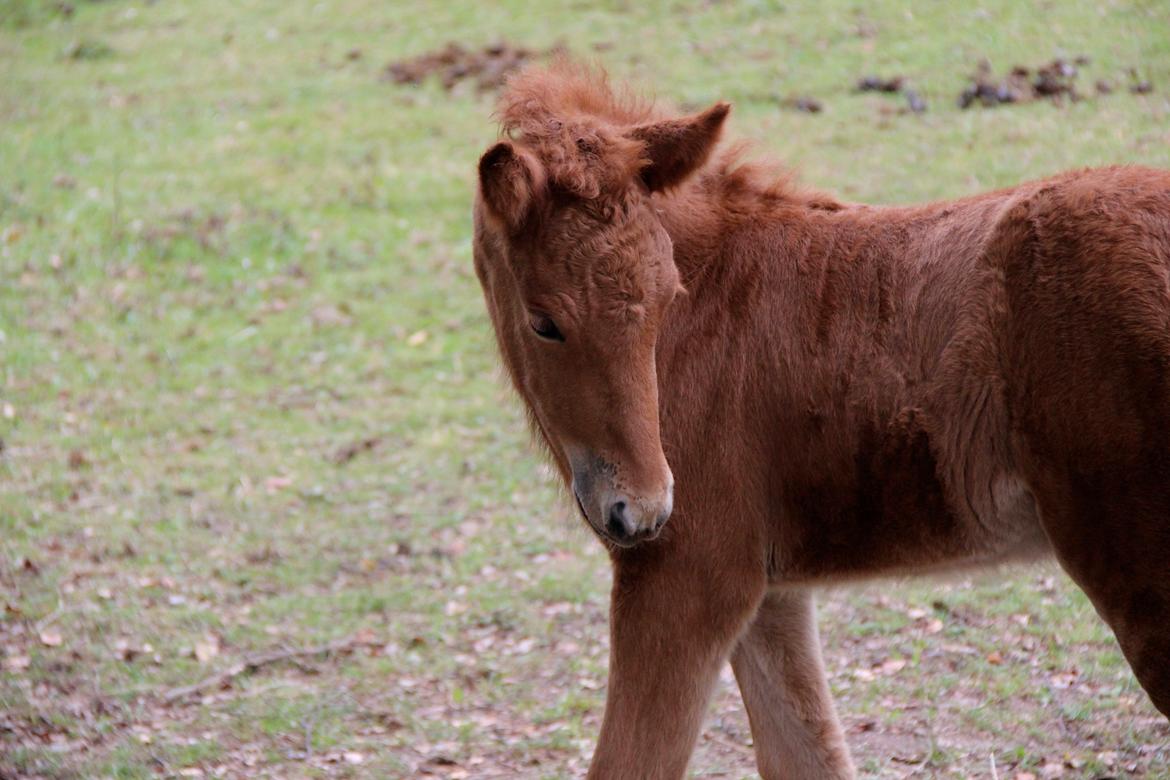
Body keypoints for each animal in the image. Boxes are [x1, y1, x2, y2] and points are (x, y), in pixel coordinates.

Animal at [467, 64, 1170, 776]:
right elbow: (807, 754)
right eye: (543, 323)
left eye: (669, 298)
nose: (642, 511)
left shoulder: (686, 576)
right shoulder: (768, 593)